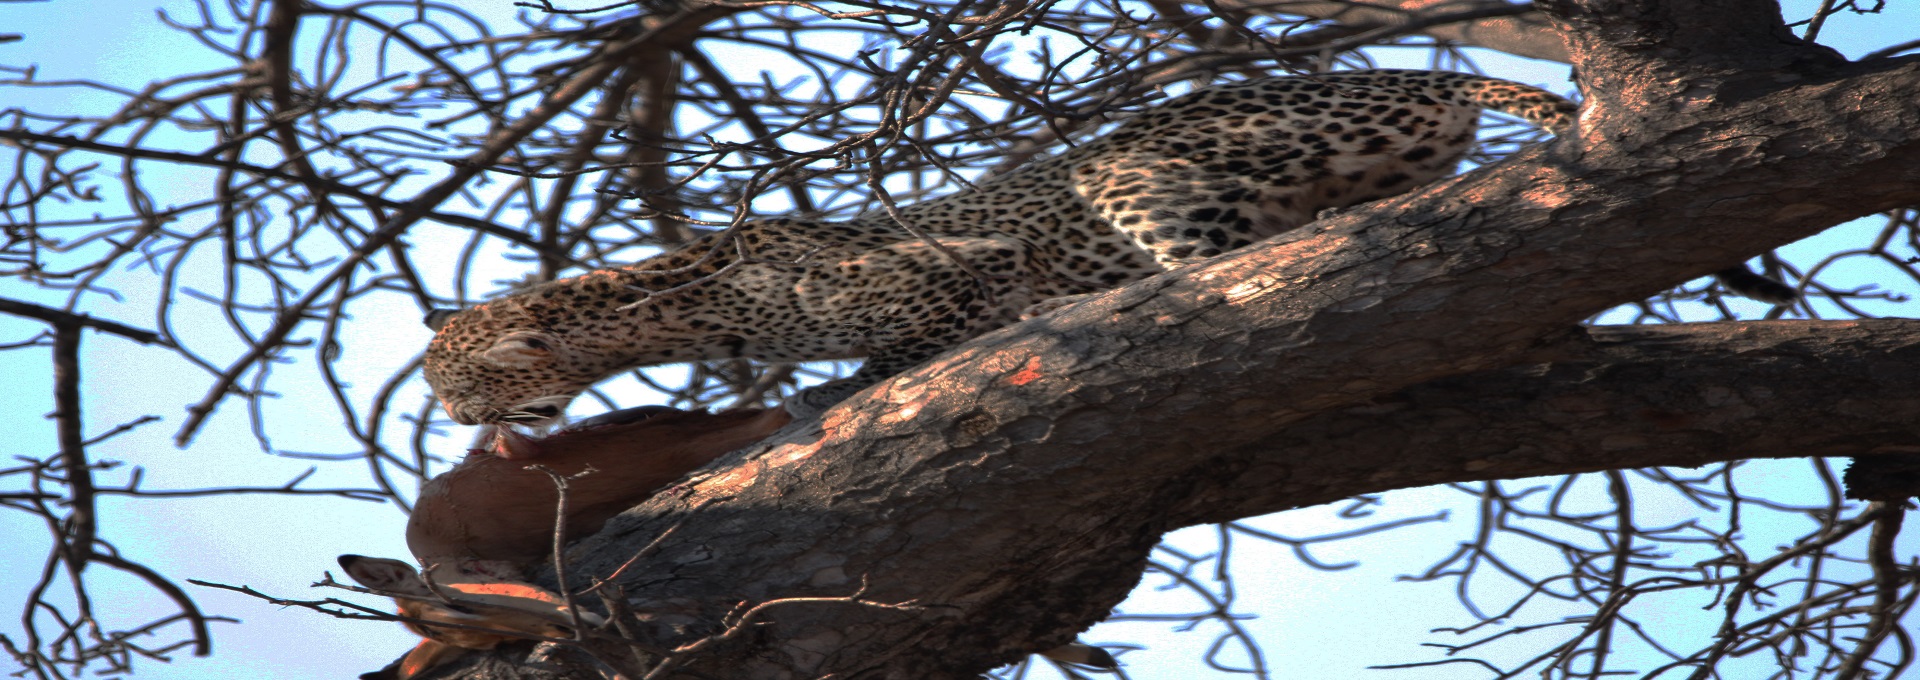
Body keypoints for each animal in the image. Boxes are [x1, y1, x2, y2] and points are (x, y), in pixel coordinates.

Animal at [416, 69, 1766, 424]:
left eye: (460, 382)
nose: (466, 430)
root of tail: (1402, 69)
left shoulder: (959, 277)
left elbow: (904, 345)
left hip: (1144, 170)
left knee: (1222, 270)